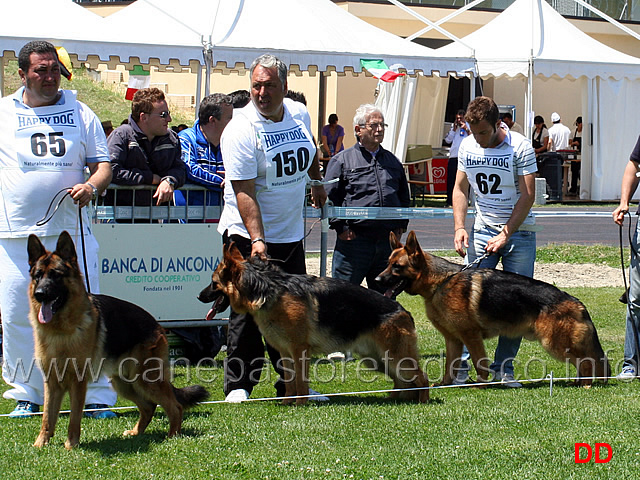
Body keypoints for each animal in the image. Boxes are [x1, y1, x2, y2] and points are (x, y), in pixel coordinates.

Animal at [27, 232, 209, 450]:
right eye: (38, 276)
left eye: (56, 275)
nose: (40, 294)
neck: (61, 330)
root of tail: (156, 324)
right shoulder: (52, 382)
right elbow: (47, 416)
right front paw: (40, 444)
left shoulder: (78, 382)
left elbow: (74, 417)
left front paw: (71, 444)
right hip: (124, 383)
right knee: (149, 406)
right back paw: (136, 432)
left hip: (146, 381)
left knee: (175, 406)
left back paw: (172, 435)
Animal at [199, 244, 430, 404]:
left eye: (213, 283)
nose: (199, 296)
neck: (266, 291)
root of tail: (402, 310)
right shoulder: (285, 352)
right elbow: (290, 382)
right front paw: (287, 403)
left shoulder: (299, 350)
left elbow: (301, 382)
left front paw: (300, 404)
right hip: (378, 360)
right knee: (402, 381)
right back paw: (395, 398)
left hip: (395, 357)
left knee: (422, 377)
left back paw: (423, 401)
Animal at [376, 232, 608, 386]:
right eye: (387, 264)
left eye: (397, 267)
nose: (377, 280)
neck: (440, 282)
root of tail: (575, 301)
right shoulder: (453, 339)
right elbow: (450, 366)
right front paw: (443, 385)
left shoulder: (471, 335)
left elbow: (480, 363)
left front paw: (480, 385)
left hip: (555, 343)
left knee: (587, 361)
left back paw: (586, 384)